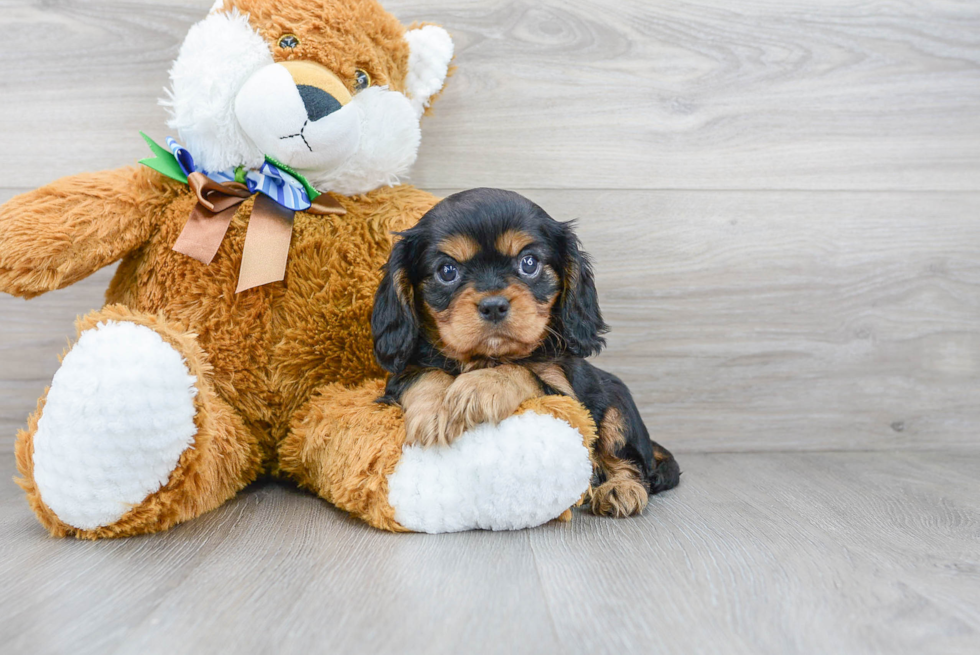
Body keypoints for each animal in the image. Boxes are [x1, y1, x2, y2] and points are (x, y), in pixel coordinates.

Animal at [372, 188, 676, 516]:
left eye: (529, 263)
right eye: (447, 271)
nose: (493, 305)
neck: (485, 357)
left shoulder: (566, 396)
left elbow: (521, 370)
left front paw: (481, 386)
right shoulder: (401, 375)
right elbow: (425, 376)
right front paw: (436, 410)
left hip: (618, 404)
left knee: (628, 460)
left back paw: (621, 488)